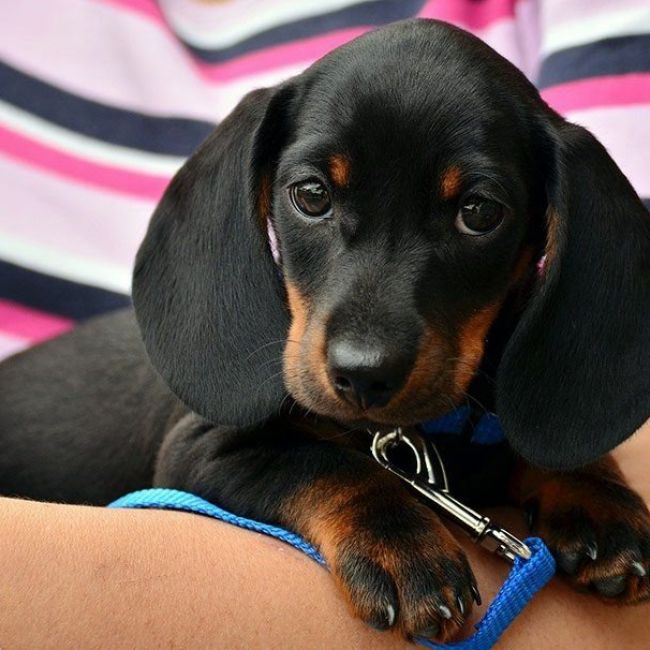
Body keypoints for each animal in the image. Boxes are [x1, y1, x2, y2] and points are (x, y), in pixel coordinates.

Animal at [1, 17, 648, 640]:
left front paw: (596, 494)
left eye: (480, 211)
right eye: (311, 194)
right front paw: (400, 542)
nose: (363, 376)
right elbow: (326, 464)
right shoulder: (198, 450)